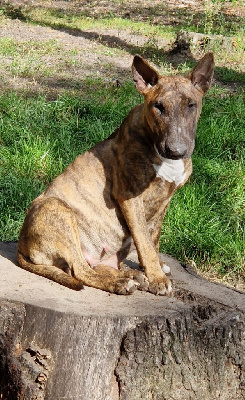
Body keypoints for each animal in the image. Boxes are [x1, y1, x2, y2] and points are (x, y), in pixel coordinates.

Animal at [17, 53, 213, 296]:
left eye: (191, 105)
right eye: (158, 106)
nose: (176, 151)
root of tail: (22, 245)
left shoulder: (165, 199)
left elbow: (154, 237)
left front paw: (157, 267)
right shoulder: (129, 195)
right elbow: (144, 240)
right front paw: (157, 278)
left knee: (92, 266)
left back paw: (130, 276)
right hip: (57, 210)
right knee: (80, 270)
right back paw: (122, 282)